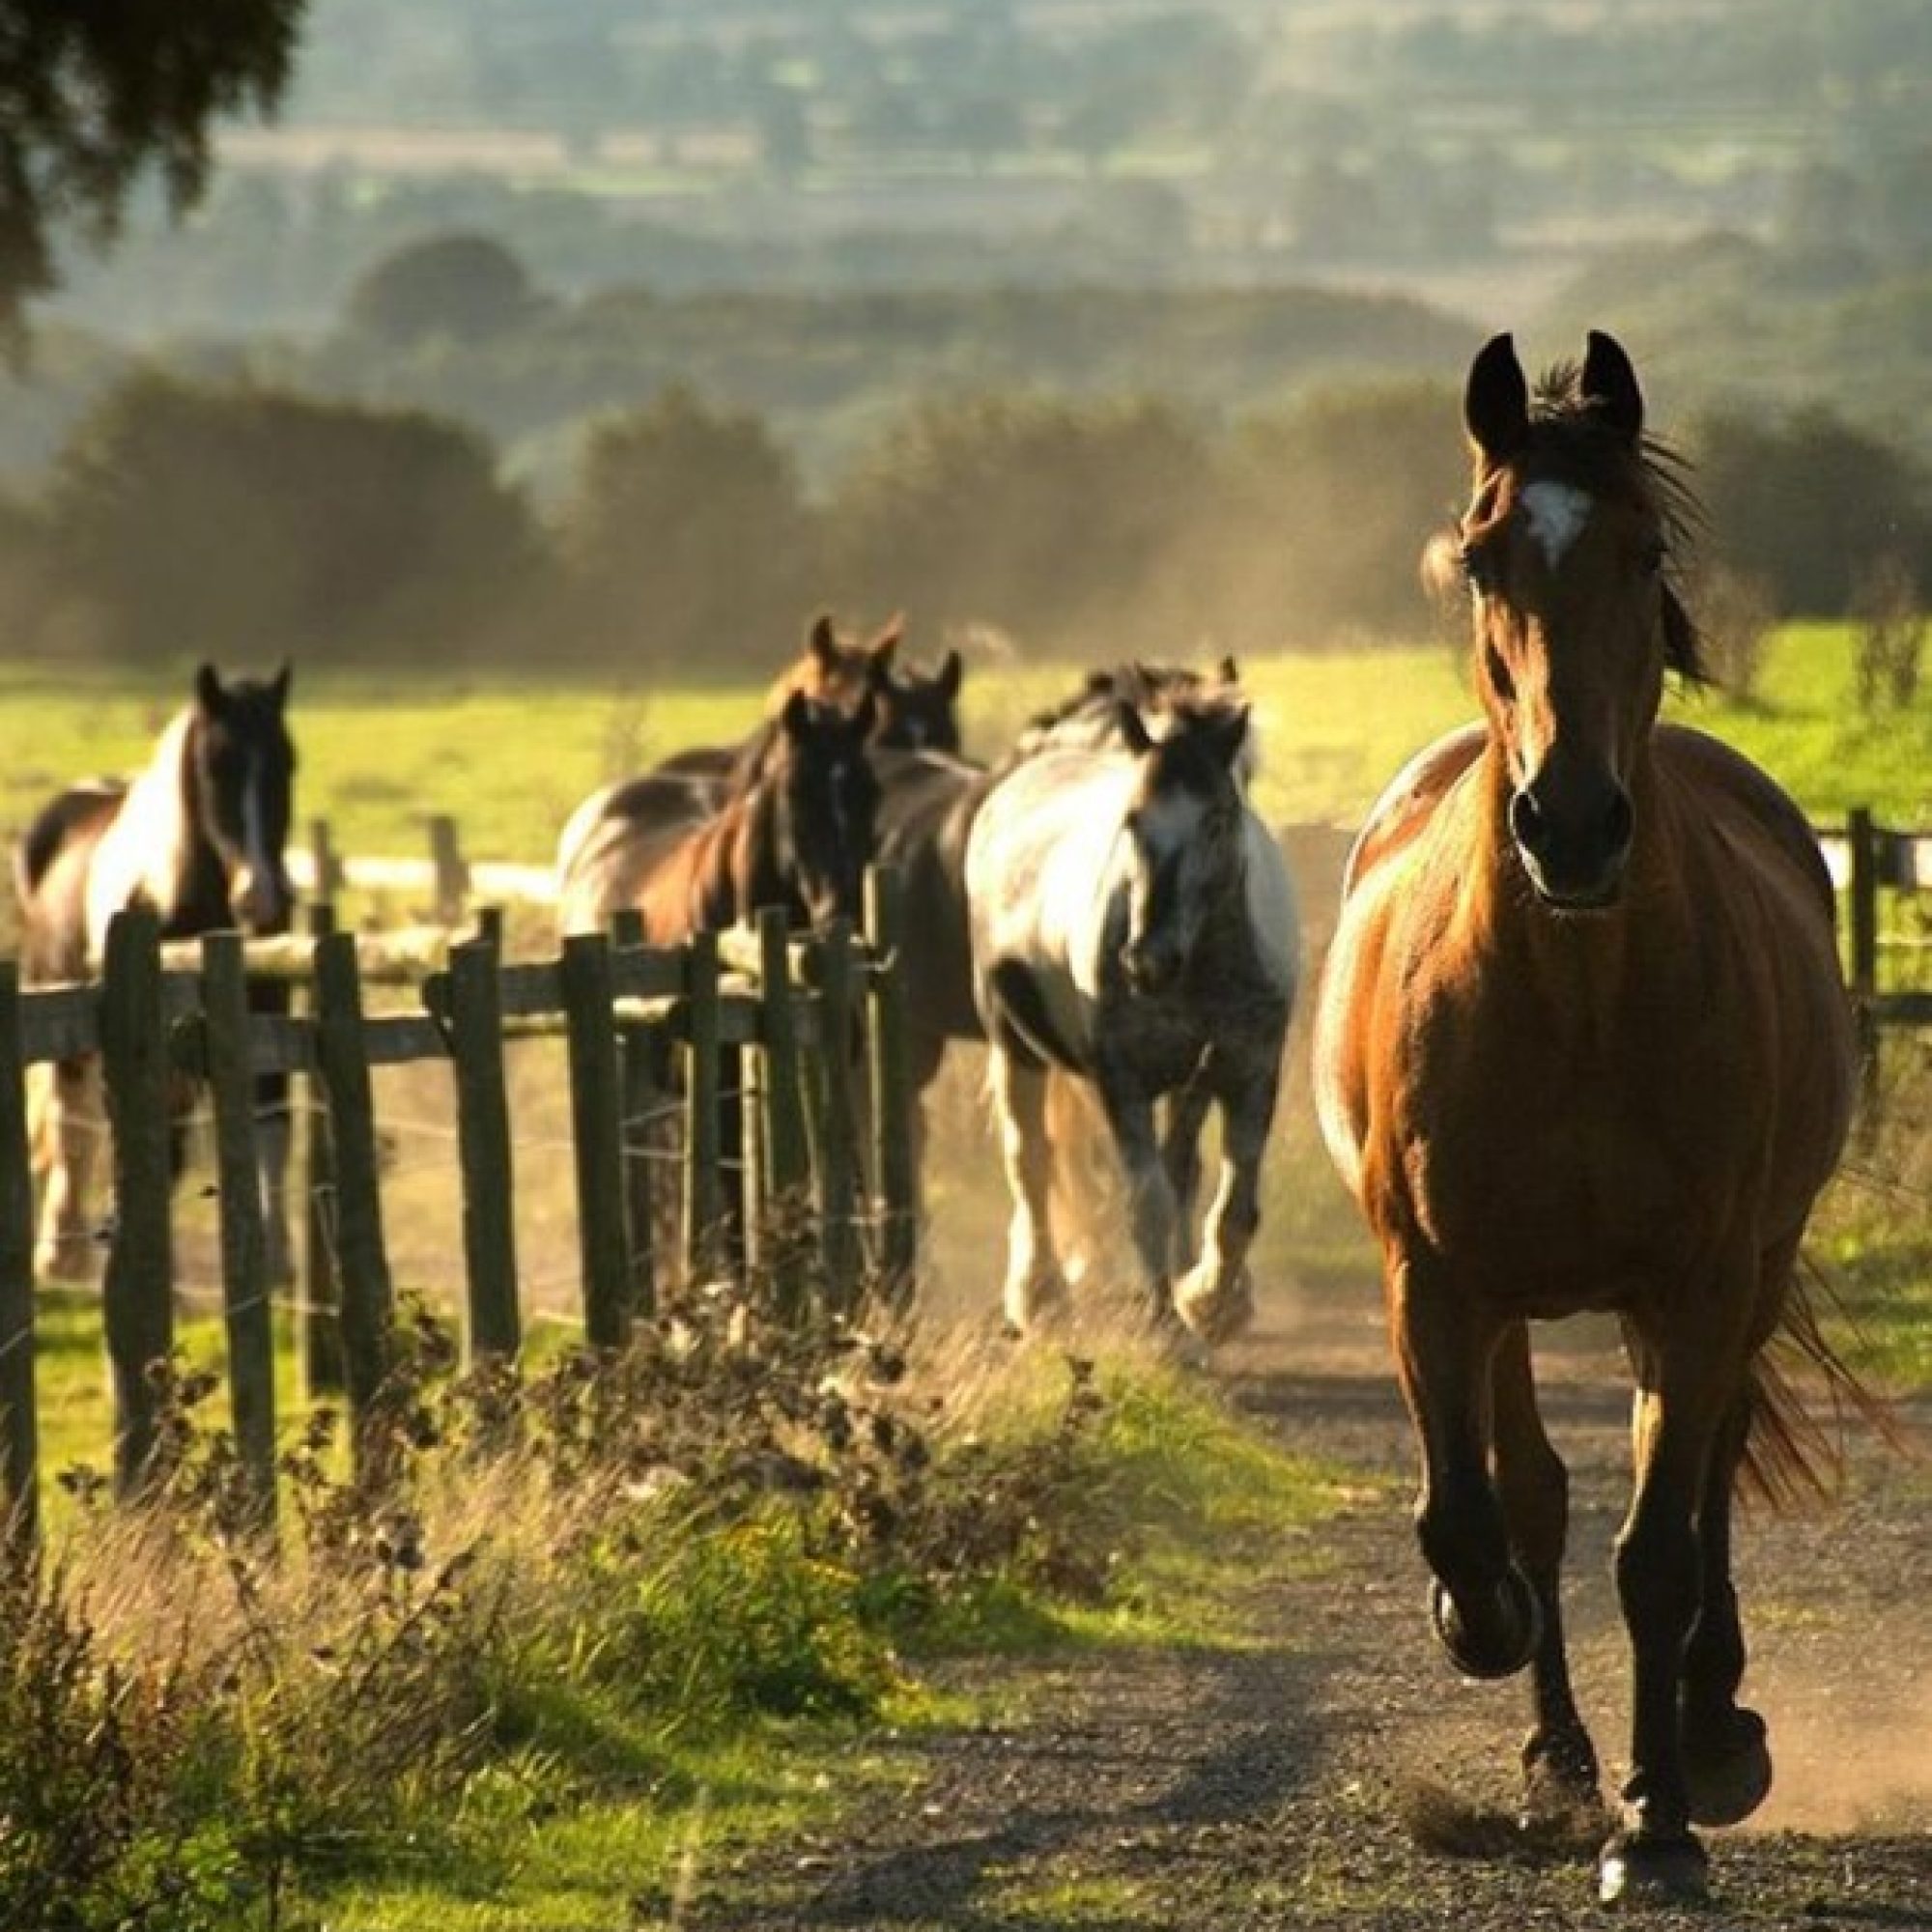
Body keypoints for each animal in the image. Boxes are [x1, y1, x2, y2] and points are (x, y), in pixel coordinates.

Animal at [15, 663, 298, 1283]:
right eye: (215, 765)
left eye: (288, 763)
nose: (261, 897)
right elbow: (152, 1147)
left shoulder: (267, 1016)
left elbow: (271, 1125)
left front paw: (276, 1261)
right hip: (64, 1020)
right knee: (73, 1128)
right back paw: (62, 1254)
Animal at [966, 694, 1299, 1339]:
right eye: (1132, 821)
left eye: (1216, 819)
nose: (1148, 960)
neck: (1203, 974)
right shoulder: (1124, 1083)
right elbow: (1147, 1204)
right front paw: (1167, 1326)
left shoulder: (1248, 1073)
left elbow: (1234, 1208)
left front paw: (1212, 1301)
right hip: (1014, 1047)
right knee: (1032, 1163)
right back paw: (1040, 1295)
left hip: (1188, 1086)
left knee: (1181, 1170)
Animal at [1311, 332, 1859, 1905]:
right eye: (1482, 554)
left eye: (1643, 546)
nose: (1570, 825)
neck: (1572, 1000)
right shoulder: (1435, 1280)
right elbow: (1479, 1517)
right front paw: (1485, 1637)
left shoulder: (1700, 1279)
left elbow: (1658, 1549)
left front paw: (1660, 1821)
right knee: (1538, 1497)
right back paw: (1558, 1751)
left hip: (1739, 1276)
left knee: (1706, 1474)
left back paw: (1711, 1730)